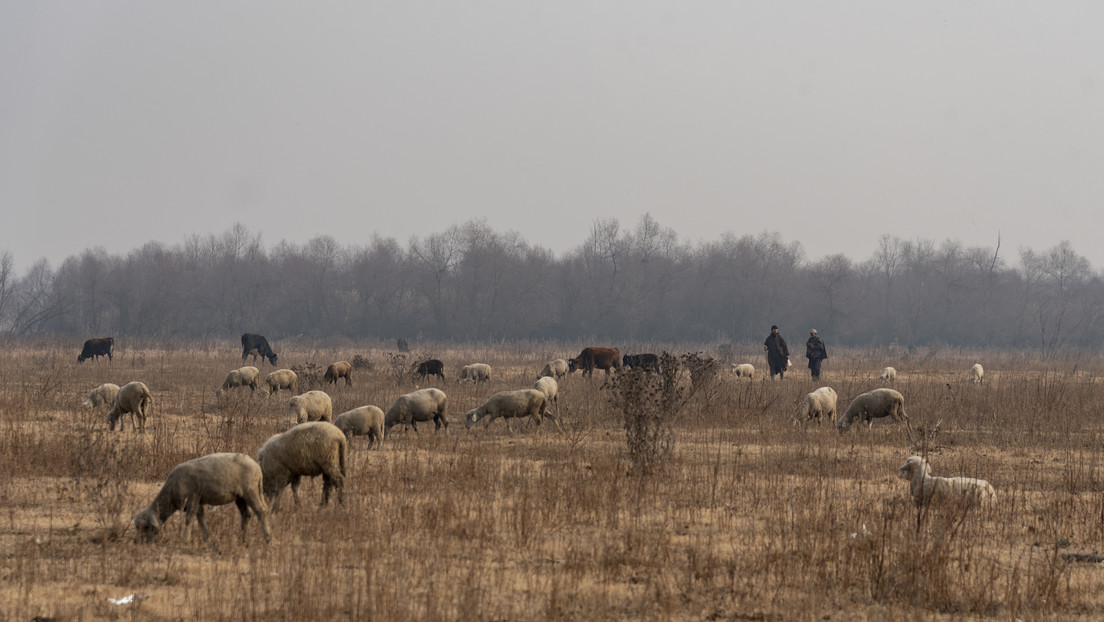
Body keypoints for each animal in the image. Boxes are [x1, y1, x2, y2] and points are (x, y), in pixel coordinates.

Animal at [134, 452, 271, 545]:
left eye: (146, 527)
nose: (137, 543)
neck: (171, 494)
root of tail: (257, 468)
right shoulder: (198, 500)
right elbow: (200, 519)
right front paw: (207, 539)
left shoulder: (193, 498)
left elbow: (189, 519)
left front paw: (185, 540)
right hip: (240, 496)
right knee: (246, 514)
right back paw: (241, 539)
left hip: (251, 491)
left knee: (261, 511)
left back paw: (268, 538)